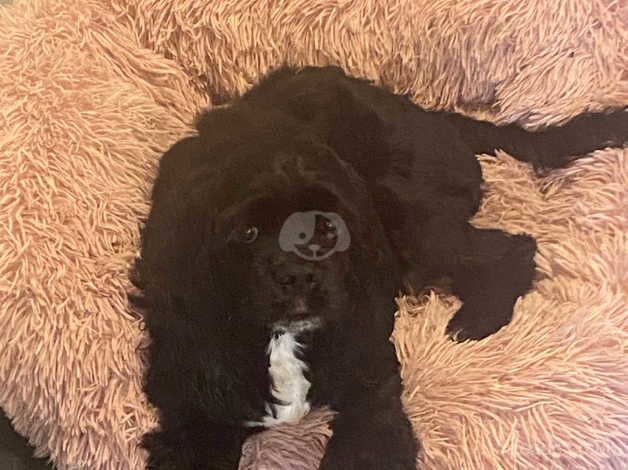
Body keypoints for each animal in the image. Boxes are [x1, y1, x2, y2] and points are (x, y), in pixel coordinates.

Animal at [130, 64, 624, 468]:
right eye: (247, 232)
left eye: (327, 226)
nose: (299, 276)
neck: (283, 340)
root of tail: (431, 116)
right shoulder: (195, 413)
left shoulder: (369, 380)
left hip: (406, 211)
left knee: (511, 249)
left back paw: (476, 320)